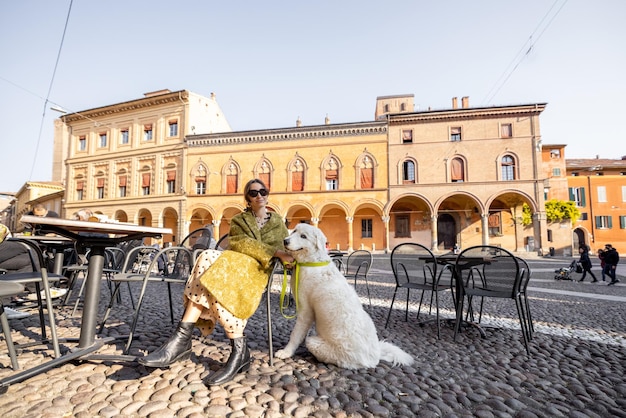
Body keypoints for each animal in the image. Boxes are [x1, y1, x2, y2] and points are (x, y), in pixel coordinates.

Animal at [274, 224, 412, 368]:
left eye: (303, 236)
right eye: (294, 231)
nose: (285, 241)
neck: (311, 262)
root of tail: (376, 356)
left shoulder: (305, 311)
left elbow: (295, 334)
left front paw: (286, 352)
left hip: (316, 344)